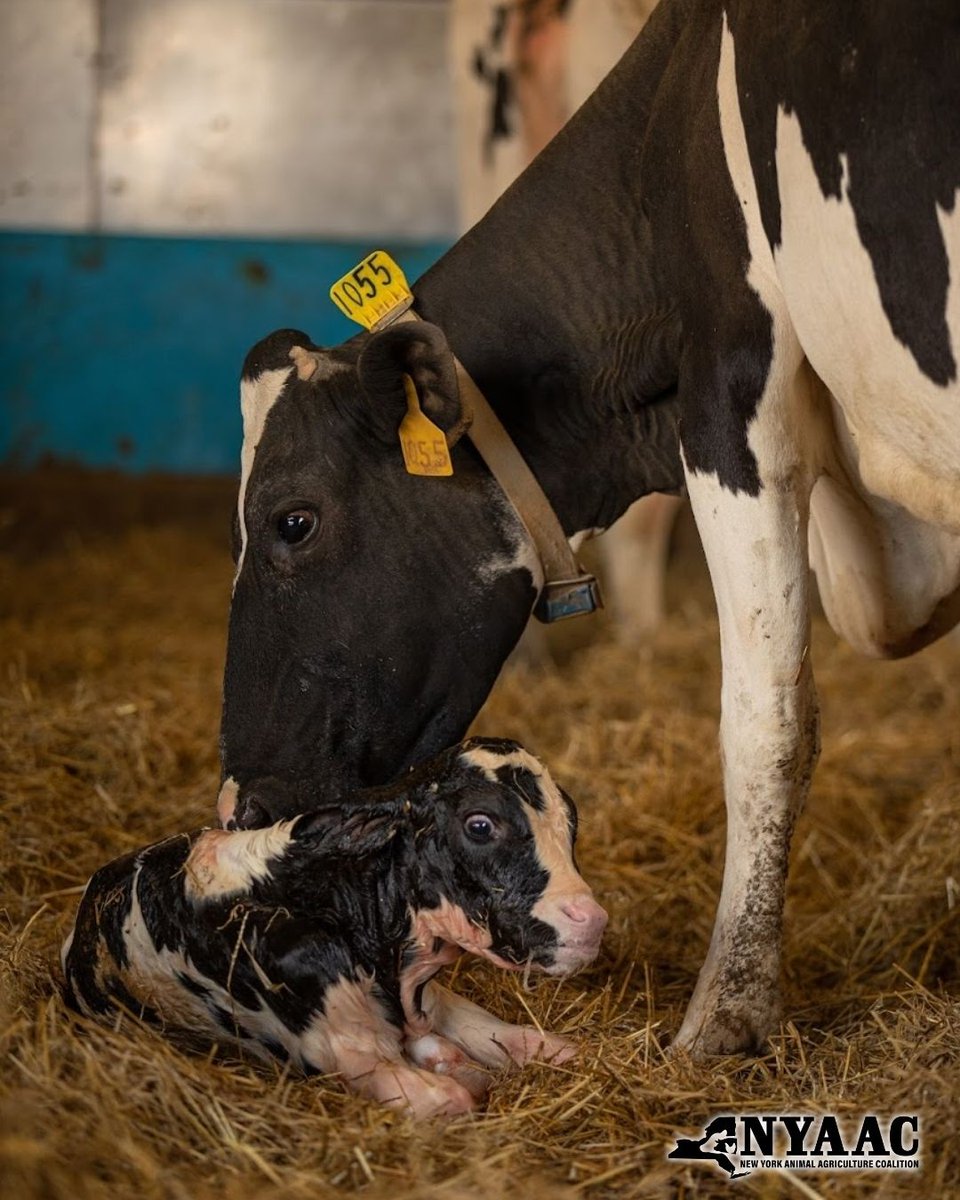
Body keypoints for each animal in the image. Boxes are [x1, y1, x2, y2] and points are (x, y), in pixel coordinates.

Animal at [62, 738, 607, 1118]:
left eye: (570, 821)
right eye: (479, 825)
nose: (592, 920)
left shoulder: (431, 1001)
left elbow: (544, 1045)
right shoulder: (341, 1046)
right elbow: (453, 1098)